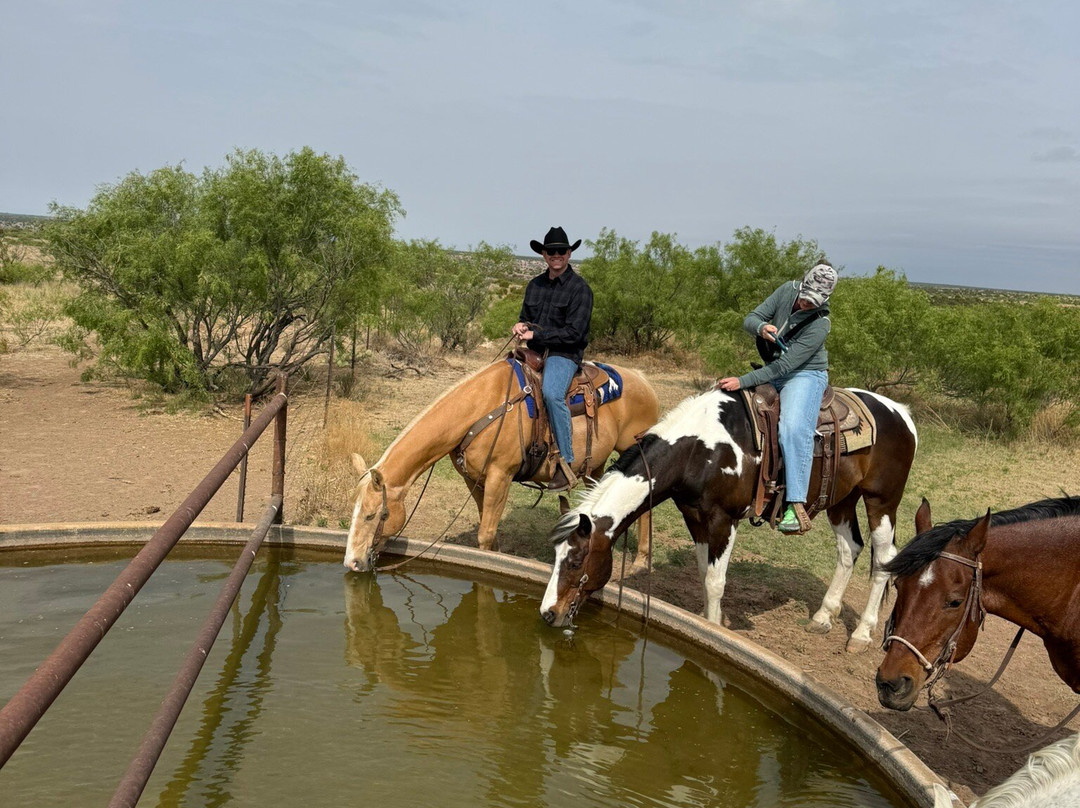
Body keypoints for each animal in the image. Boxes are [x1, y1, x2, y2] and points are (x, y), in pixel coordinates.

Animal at [343, 357, 660, 572]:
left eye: (372, 515)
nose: (352, 562)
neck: (480, 409)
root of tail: (643, 380)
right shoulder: (473, 479)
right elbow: (488, 525)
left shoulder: (501, 475)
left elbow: (485, 533)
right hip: (595, 466)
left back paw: (641, 561)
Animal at [540, 385, 918, 653]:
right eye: (555, 556)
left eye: (575, 561)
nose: (548, 614)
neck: (700, 449)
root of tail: (901, 414)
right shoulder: (694, 518)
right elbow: (703, 572)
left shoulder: (724, 520)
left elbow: (715, 581)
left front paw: (712, 630)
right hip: (841, 500)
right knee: (848, 549)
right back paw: (823, 616)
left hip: (881, 501)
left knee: (884, 559)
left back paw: (862, 634)